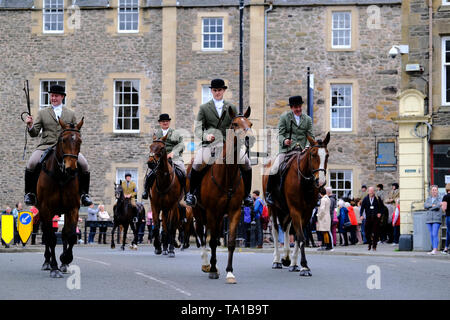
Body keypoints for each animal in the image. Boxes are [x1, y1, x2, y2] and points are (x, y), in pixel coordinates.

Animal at [36, 117, 85, 278]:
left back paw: (63, 263)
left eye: (80, 141)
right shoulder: (46, 209)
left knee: (63, 235)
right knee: (46, 234)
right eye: (63, 140)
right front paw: (54, 267)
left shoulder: (73, 208)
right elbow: (51, 238)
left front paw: (65, 259)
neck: (61, 176)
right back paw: (47, 262)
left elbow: (70, 235)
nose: (71, 168)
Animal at [188, 106, 253, 284]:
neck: (228, 173)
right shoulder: (211, 211)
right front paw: (212, 270)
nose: (249, 138)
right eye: (235, 124)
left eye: (250, 123)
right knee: (201, 235)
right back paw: (206, 264)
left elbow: (230, 242)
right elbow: (212, 242)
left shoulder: (234, 211)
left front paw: (229, 272)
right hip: (198, 211)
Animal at [260, 132, 330, 278]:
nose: (320, 182)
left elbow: (298, 236)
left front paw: (295, 264)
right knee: (276, 230)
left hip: (286, 210)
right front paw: (304, 267)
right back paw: (277, 260)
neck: (304, 182)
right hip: (273, 208)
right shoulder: (296, 210)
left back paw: (287, 258)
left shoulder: (306, 212)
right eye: (313, 154)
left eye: (327, 155)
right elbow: (301, 237)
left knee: (286, 228)